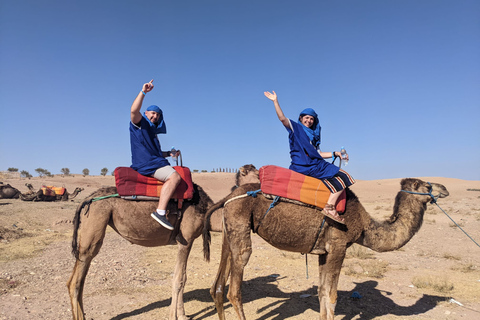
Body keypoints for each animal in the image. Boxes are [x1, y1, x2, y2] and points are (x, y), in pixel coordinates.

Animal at [67, 165, 258, 320]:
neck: (206, 212)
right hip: (96, 220)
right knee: (76, 280)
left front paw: (183, 315)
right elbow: (179, 278)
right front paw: (174, 316)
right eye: (257, 173)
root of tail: (88, 198)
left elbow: (184, 278)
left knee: (80, 280)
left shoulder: (186, 242)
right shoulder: (185, 240)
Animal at [202, 178, 450, 320]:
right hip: (240, 227)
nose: (445, 189)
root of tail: (228, 197)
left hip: (230, 231)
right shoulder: (339, 246)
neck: (364, 225)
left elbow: (322, 293)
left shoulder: (324, 252)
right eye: (428, 185)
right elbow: (332, 296)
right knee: (234, 290)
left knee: (217, 287)